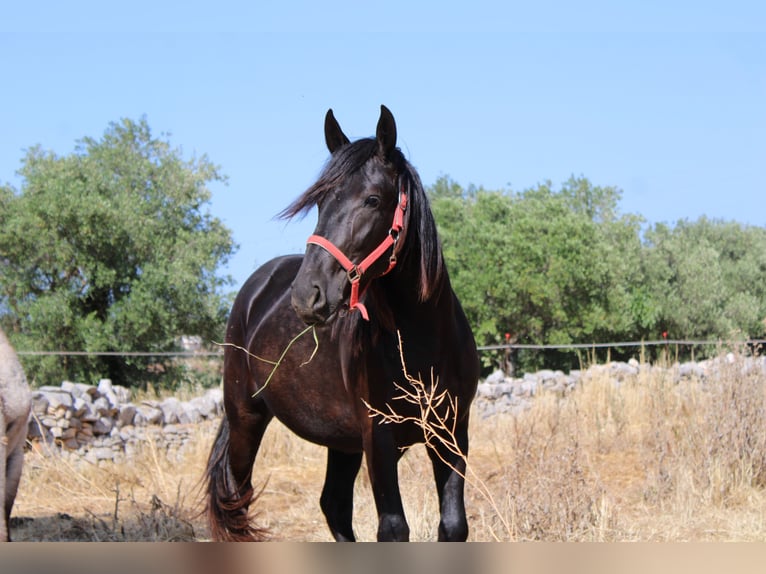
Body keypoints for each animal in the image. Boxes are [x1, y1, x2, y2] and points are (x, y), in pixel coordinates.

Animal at [204, 106, 480, 544]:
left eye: (372, 199)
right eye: (319, 202)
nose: (307, 294)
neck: (419, 344)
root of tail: (256, 289)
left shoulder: (452, 433)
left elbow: (453, 525)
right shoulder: (378, 439)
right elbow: (393, 529)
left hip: (342, 442)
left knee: (333, 504)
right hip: (246, 418)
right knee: (237, 500)